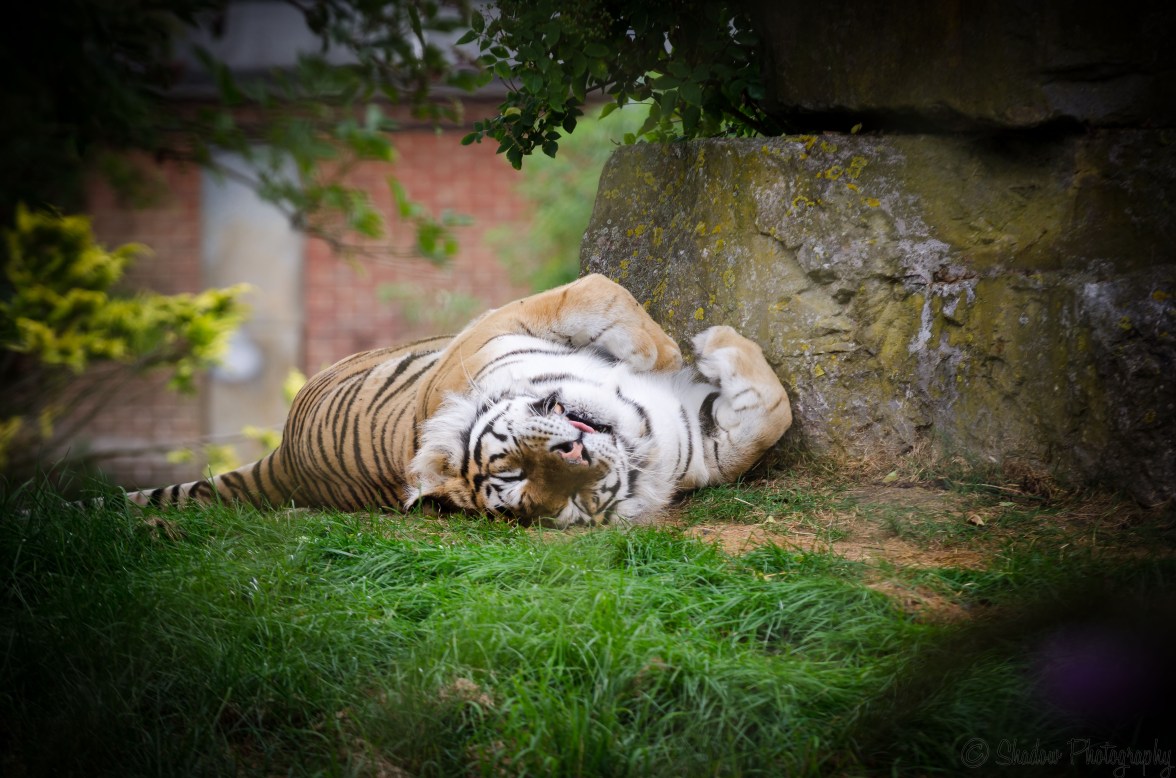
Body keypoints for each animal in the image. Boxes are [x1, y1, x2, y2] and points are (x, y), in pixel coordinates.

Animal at [128, 274, 792, 526]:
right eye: (518, 478)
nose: (578, 456)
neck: (635, 419)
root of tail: (286, 460)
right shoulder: (496, 329)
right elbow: (595, 289)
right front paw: (677, 350)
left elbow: (770, 416)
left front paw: (697, 349)